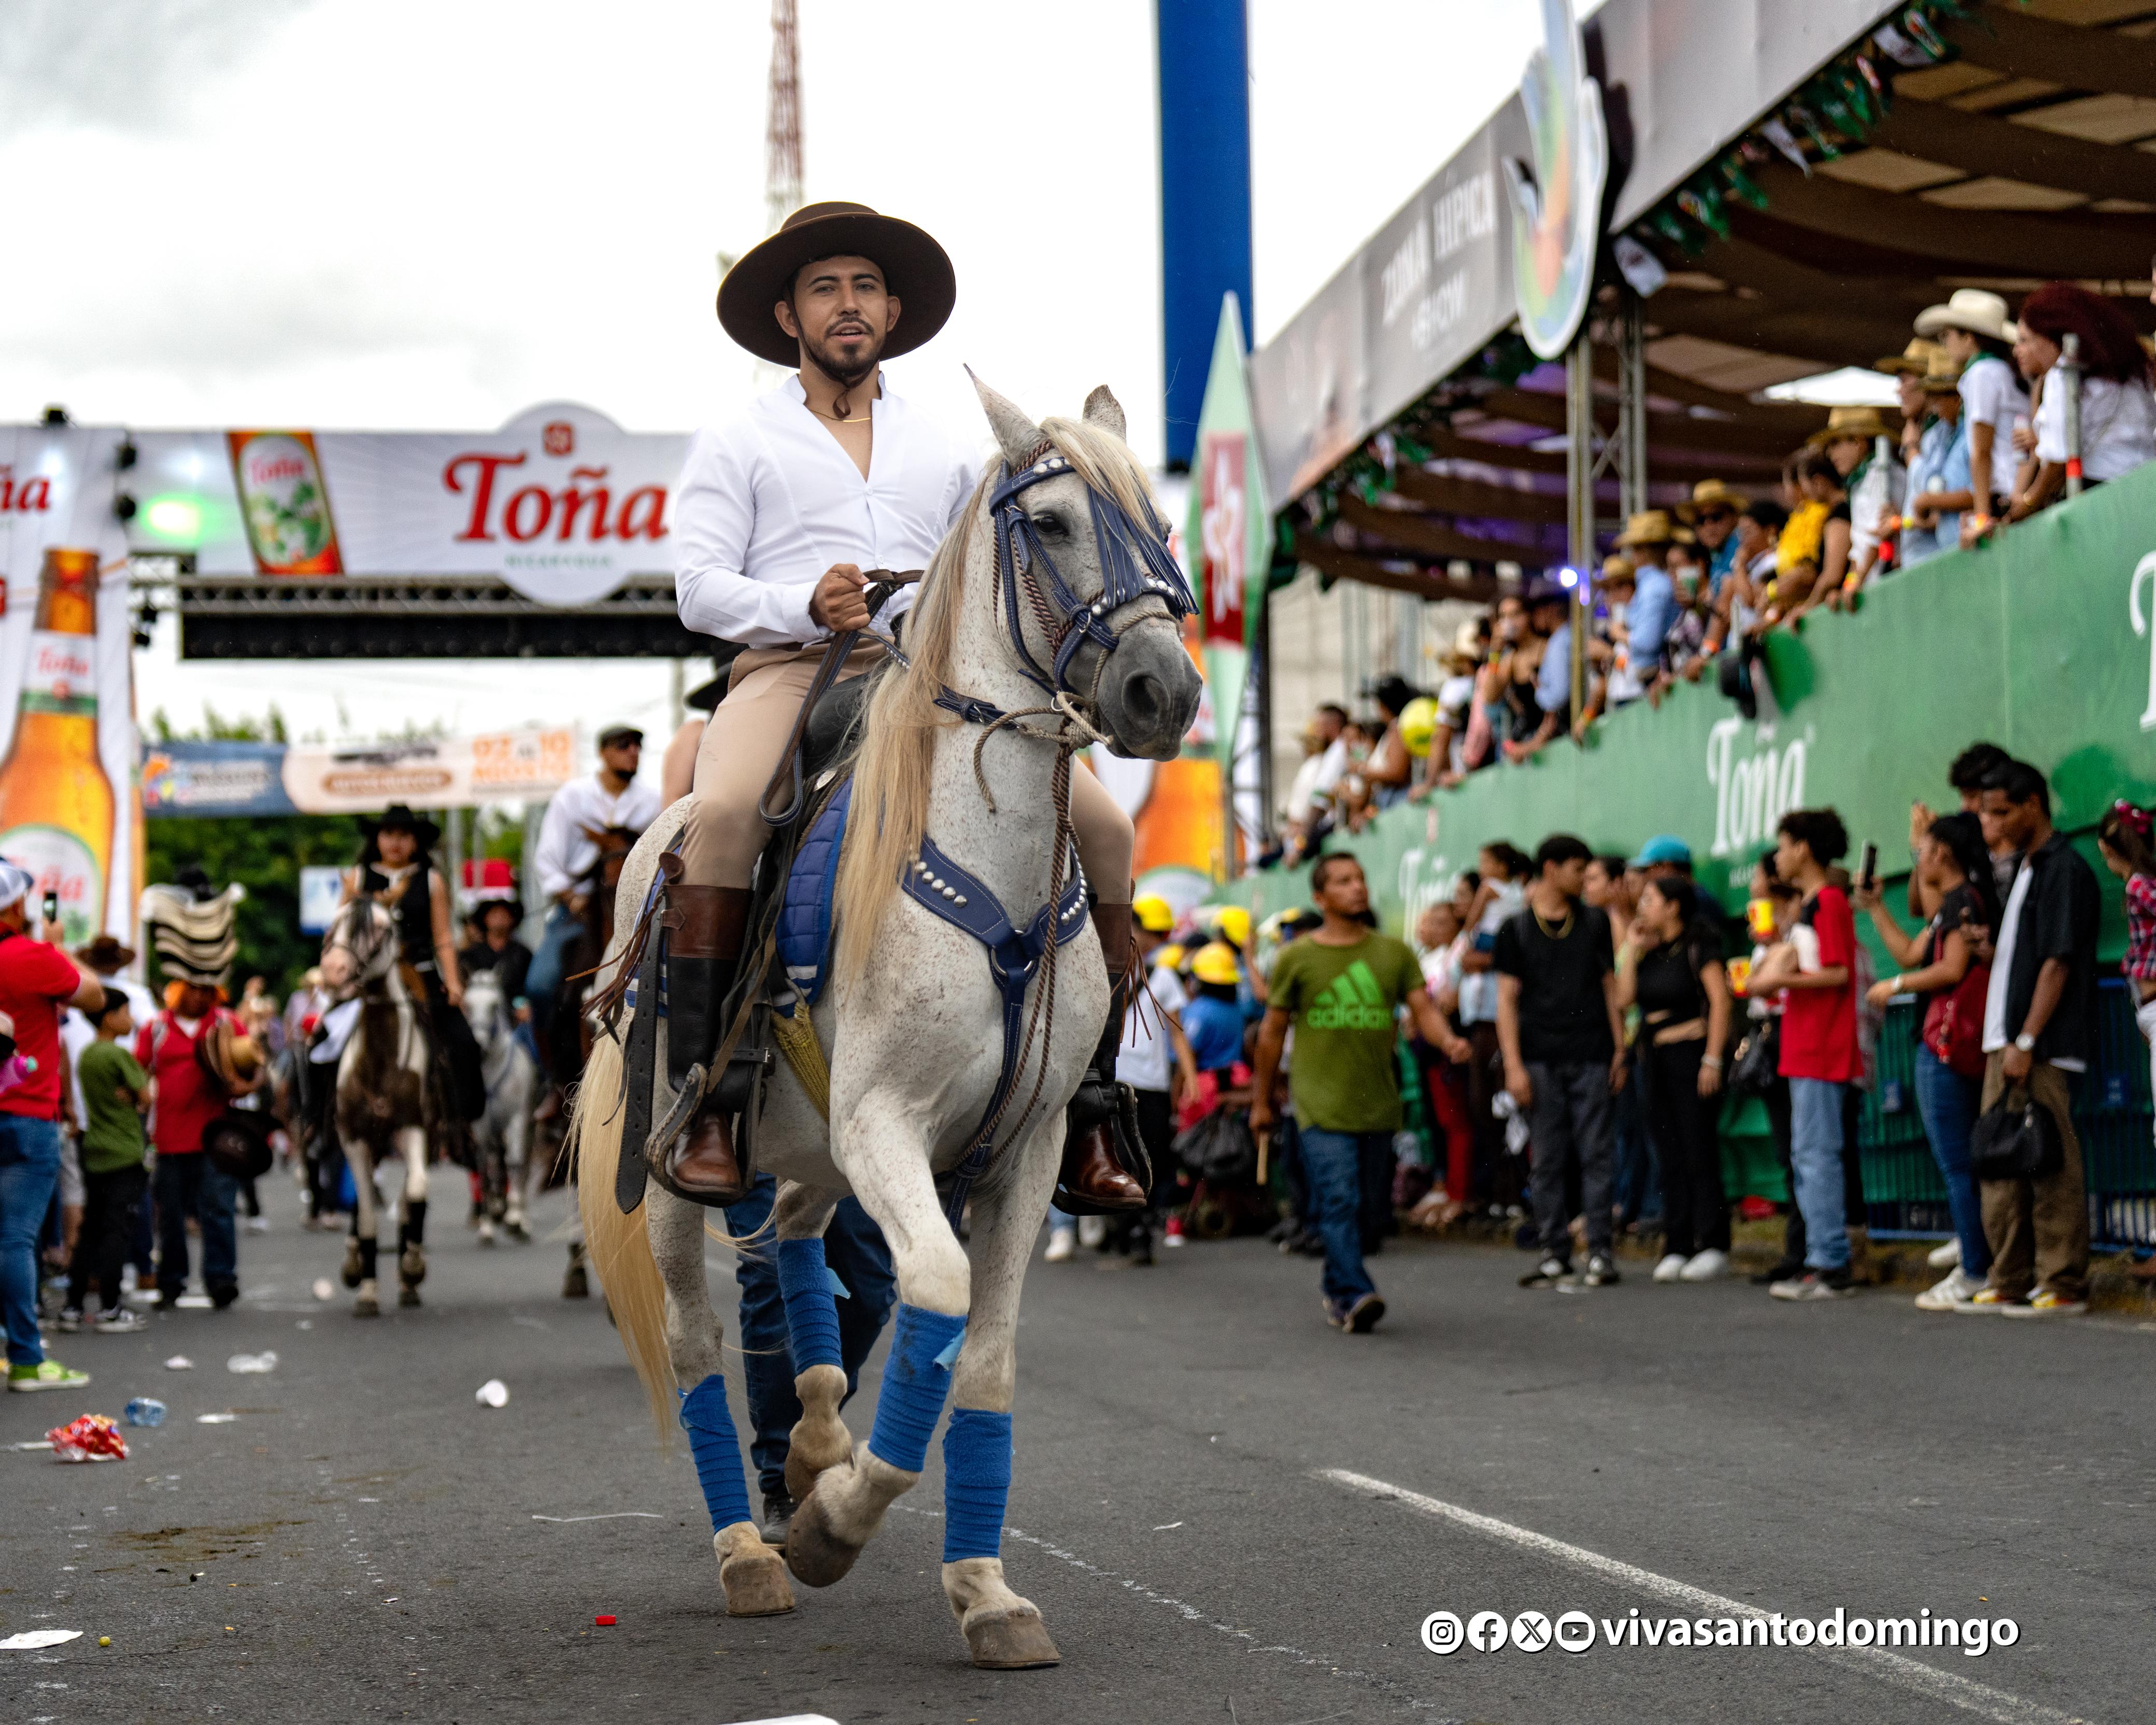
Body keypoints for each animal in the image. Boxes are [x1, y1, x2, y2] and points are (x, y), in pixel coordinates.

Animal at [319, 893, 436, 1316]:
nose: (334, 971)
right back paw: (356, 1263)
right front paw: (366, 1288)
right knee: (362, 1201)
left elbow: (416, 1191)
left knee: (407, 1198)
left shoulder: (414, 1129)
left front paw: (413, 1265)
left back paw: (408, 1280)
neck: (380, 1058)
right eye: (333, 923)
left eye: (383, 928)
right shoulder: (353, 1139)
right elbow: (367, 1214)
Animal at [462, 966, 539, 1244]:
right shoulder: (481, 1128)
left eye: (494, 1005)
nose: (479, 1046)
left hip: (528, 1126)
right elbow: (485, 1172)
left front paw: (516, 1219)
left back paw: (520, 1217)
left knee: (521, 1167)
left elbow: (515, 1164)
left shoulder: (518, 1119)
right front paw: (487, 1227)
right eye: (467, 1004)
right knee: (497, 1165)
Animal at [571, 378, 1202, 1667]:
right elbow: (938, 1298)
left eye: (1161, 528)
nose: (1162, 690)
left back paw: (812, 1437)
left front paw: (985, 1590)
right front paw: (832, 1528)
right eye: (1050, 522)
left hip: (809, 1146)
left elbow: (981, 1356)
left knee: (793, 1242)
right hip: (682, 1176)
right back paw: (751, 1549)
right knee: (702, 1342)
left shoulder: (1025, 1148)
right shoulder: (884, 1124)